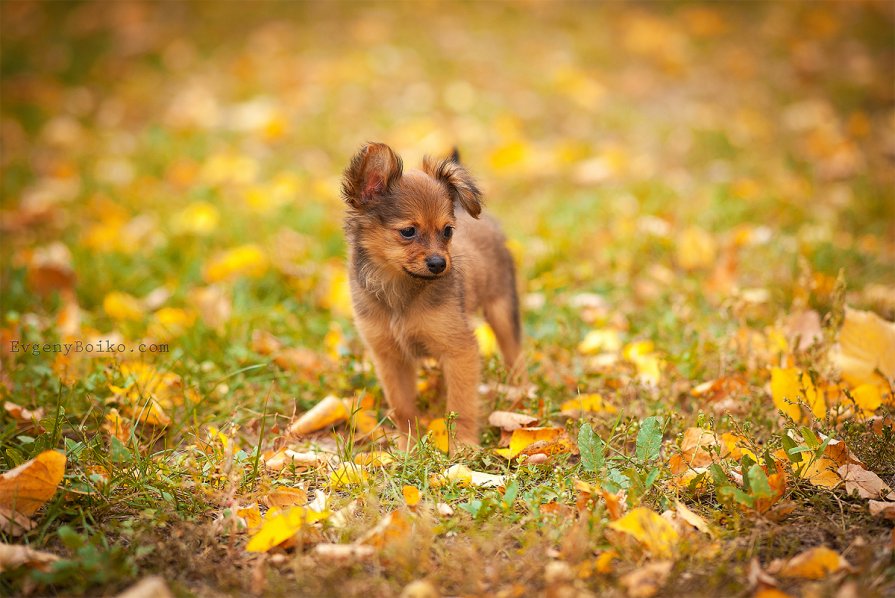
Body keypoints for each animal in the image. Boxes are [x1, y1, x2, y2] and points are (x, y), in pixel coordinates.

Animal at [344, 142, 524, 450]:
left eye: (448, 231)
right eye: (408, 232)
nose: (440, 263)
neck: (400, 288)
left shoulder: (460, 349)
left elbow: (461, 403)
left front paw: (463, 444)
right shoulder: (389, 356)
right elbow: (402, 406)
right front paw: (408, 445)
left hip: (502, 308)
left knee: (515, 355)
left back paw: (522, 395)